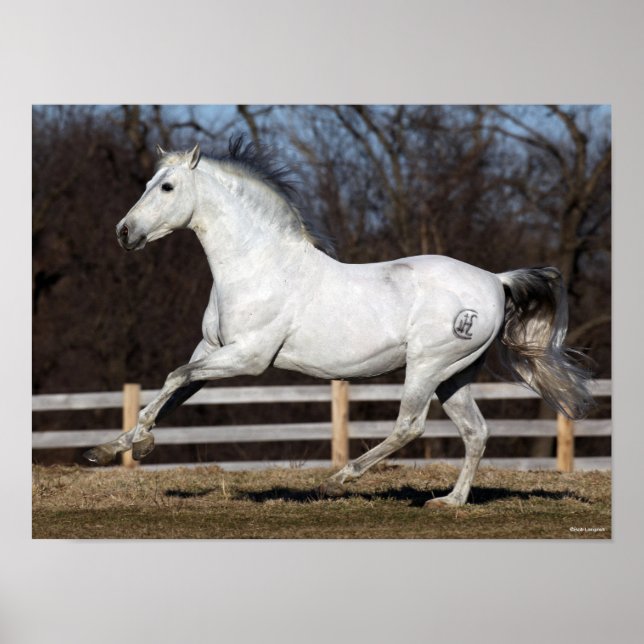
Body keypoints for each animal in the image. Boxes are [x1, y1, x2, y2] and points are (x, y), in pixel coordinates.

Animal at [84, 137, 593, 507]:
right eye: (148, 183)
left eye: (166, 188)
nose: (124, 233)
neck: (257, 266)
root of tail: (495, 279)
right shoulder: (211, 350)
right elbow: (172, 393)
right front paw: (107, 449)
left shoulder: (247, 358)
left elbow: (173, 379)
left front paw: (140, 446)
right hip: (456, 375)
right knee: (476, 432)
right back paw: (450, 502)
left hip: (427, 367)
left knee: (410, 426)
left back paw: (338, 480)